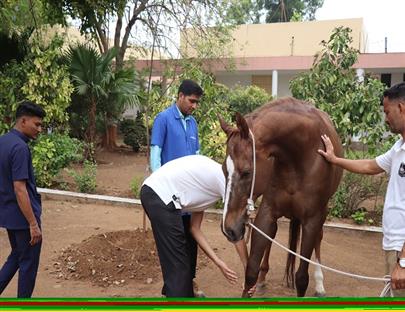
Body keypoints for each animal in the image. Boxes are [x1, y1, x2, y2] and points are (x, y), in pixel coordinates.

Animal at [219, 97, 342, 298]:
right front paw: (256, 281)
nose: (228, 228)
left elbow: (301, 278)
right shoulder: (267, 212)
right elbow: (251, 271)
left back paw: (319, 284)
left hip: (322, 214)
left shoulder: (312, 220)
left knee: (319, 239)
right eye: (224, 170)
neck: (300, 156)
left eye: (246, 172)